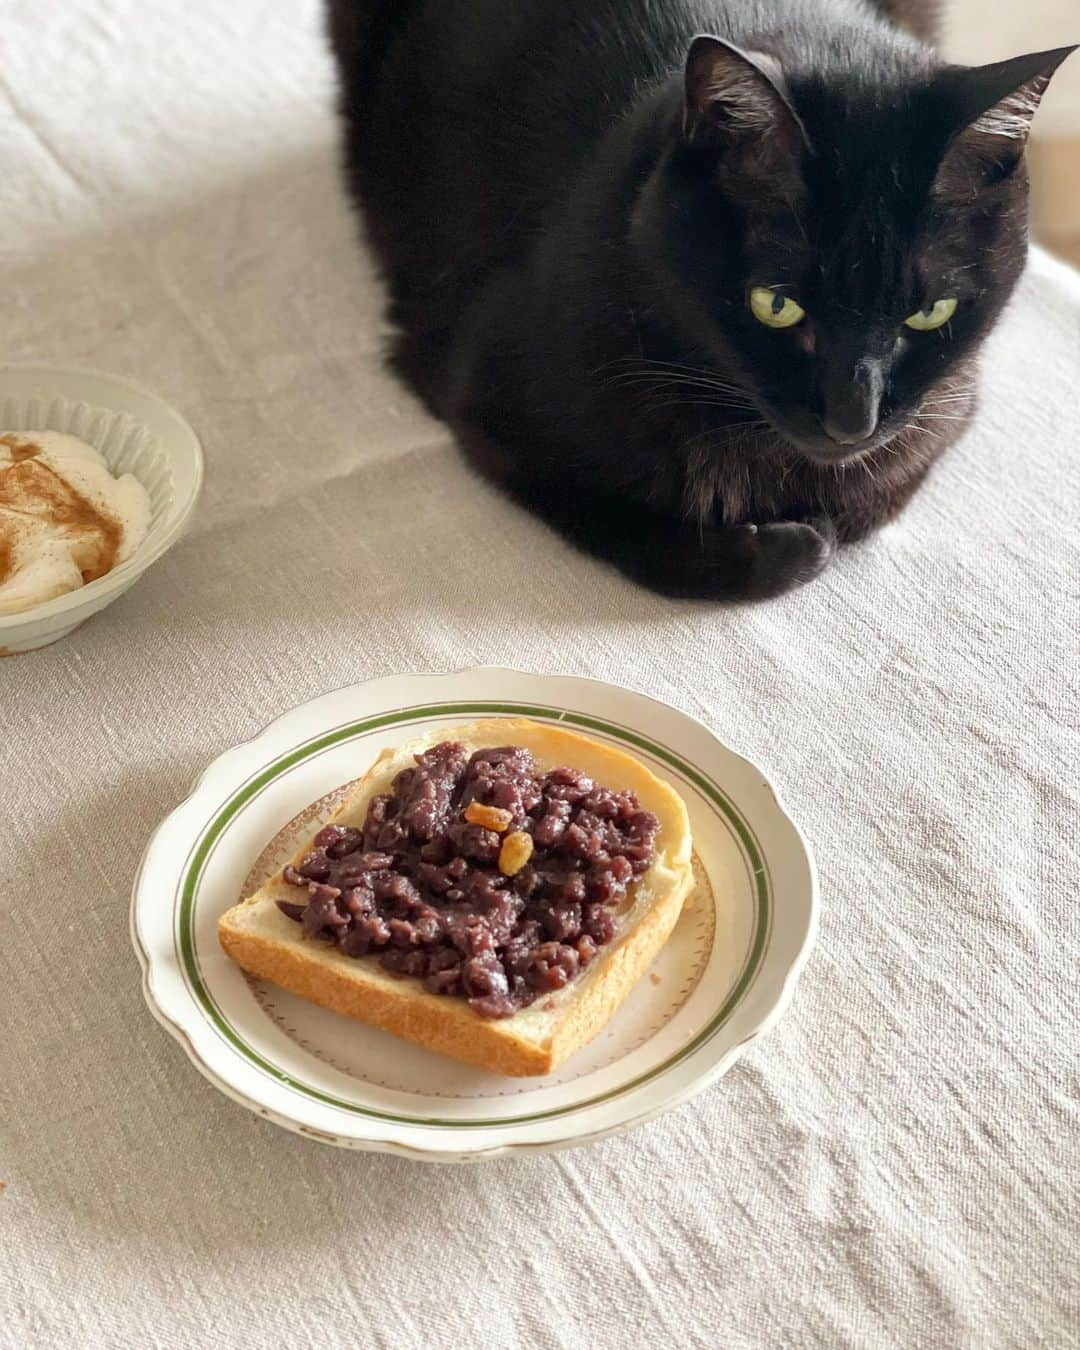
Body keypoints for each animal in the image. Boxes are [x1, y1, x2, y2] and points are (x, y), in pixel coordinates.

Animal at [326, 0, 1069, 602]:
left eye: (930, 313)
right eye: (776, 305)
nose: (850, 420)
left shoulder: (945, 411)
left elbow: (878, 489)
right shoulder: (485, 407)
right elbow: (616, 519)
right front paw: (785, 545)